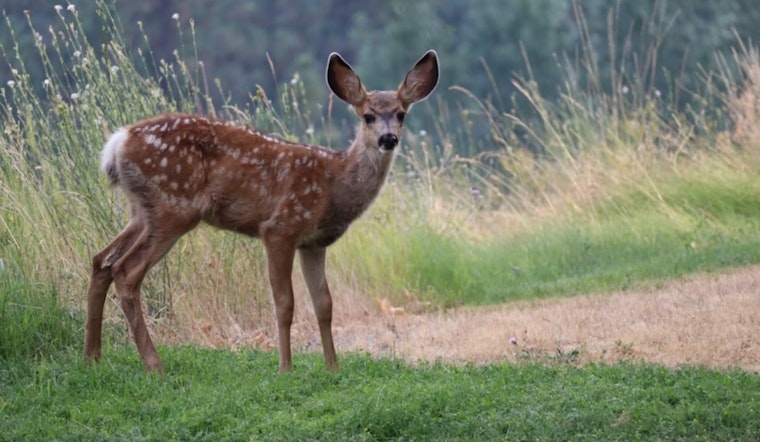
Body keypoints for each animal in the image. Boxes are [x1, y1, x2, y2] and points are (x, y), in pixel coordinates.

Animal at [84, 50, 439, 373]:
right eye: (367, 116)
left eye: (401, 114)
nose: (388, 138)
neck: (334, 184)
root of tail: (118, 142)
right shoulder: (281, 227)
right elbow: (285, 302)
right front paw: (285, 368)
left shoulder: (314, 243)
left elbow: (324, 304)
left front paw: (332, 368)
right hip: (174, 206)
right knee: (126, 271)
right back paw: (154, 364)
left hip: (142, 211)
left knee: (102, 260)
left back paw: (93, 356)